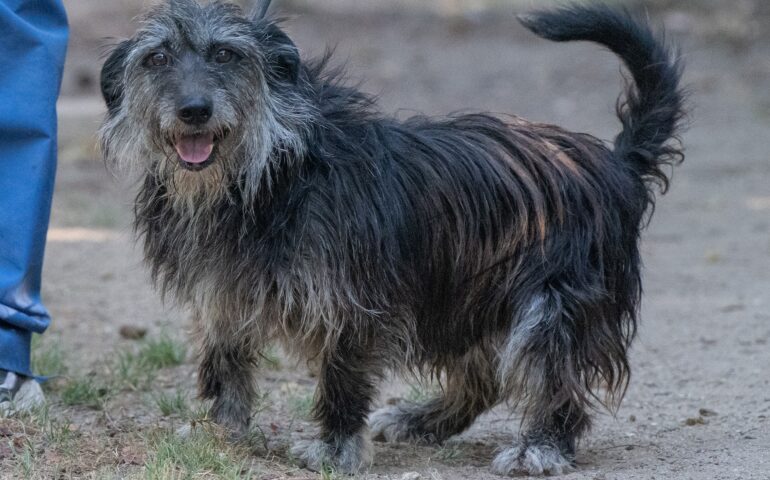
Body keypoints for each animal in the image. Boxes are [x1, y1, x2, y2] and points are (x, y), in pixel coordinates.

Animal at [97, 0, 684, 472]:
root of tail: (615, 162)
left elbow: (341, 377)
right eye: (157, 58)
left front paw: (335, 447)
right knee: (484, 378)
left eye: (226, 54)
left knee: (554, 379)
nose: (194, 110)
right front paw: (220, 430)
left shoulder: (353, 303)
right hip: (459, 299)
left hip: (550, 304)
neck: (266, 176)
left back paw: (540, 446)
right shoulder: (222, 296)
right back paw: (424, 420)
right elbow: (227, 365)